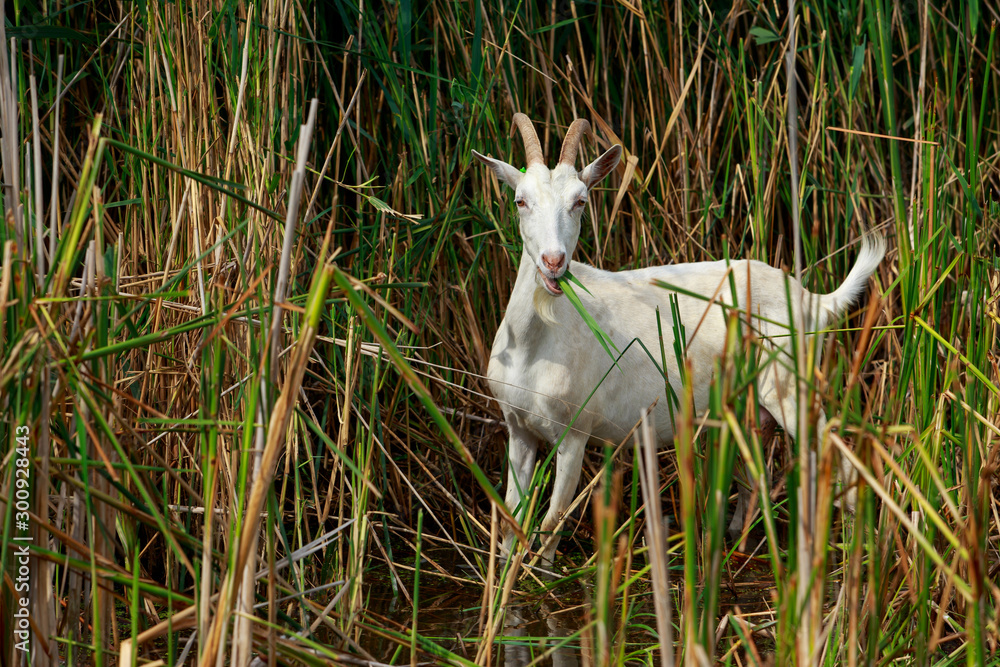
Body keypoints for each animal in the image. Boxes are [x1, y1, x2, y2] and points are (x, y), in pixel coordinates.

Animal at [473, 114, 885, 565]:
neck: (538, 343)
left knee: (836, 457)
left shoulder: (574, 430)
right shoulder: (518, 429)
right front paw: (504, 573)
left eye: (581, 201)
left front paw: (538, 576)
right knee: (753, 475)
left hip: (791, 386)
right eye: (520, 201)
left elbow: (551, 526)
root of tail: (812, 299)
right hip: (747, 404)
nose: (553, 262)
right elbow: (511, 520)